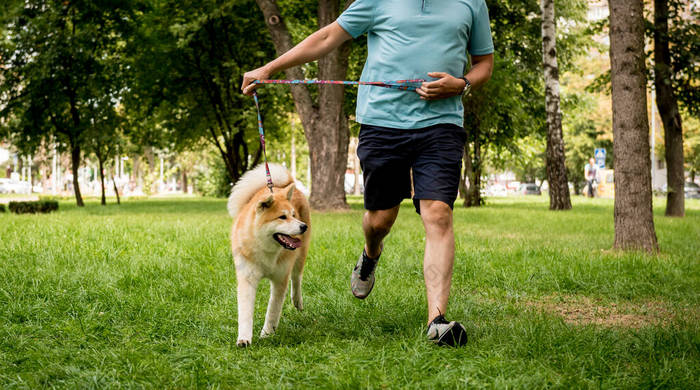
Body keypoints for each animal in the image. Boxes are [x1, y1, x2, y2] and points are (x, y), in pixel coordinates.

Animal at [228, 163, 310, 346]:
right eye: (282, 217)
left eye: (293, 215)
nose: (303, 226)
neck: (267, 251)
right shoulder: (247, 278)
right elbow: (245, 312)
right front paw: (244, 338)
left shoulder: (280, 279)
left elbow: (273, 310)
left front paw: (267, 333)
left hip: (300, 256)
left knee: (297, 278)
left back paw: (298, 301)